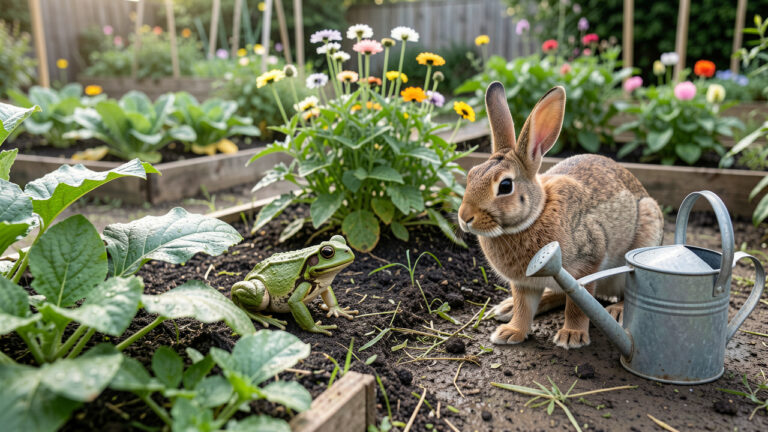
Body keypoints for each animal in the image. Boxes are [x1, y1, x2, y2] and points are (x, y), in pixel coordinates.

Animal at [458, 82, 664, 349]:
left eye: (505, 186)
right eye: (471, 174)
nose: (464, 217)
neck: (534, 216)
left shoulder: (587, 262)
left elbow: (576, 304)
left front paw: (571, 336)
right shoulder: (523, 283)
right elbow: (524, 308)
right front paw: (510, 332)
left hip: (643, 237)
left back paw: (616, 311)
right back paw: (506, 308)